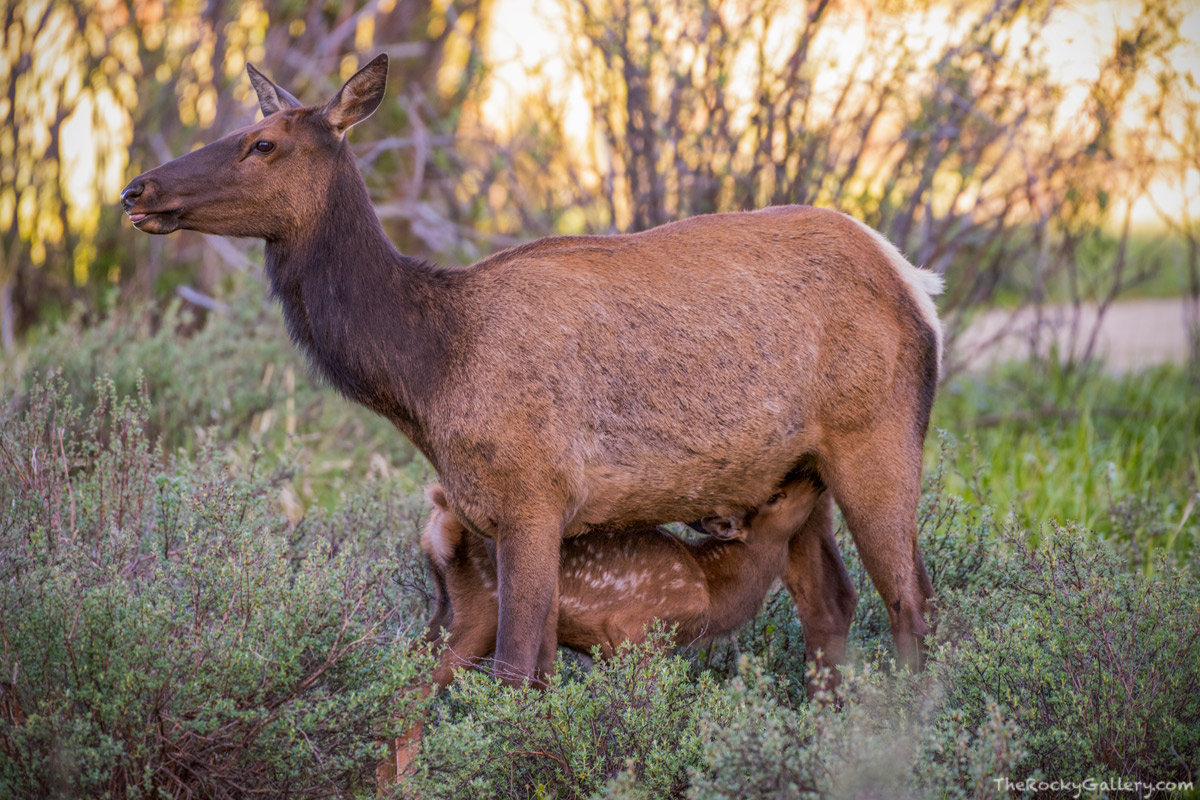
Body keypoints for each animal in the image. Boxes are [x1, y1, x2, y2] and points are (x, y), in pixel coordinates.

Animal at [124, 53, 945, 686]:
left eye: (261, 143)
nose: (137, 189)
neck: (428, 373)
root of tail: (916, 283)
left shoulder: (532, 497)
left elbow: (519, 670)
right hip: (796, 472)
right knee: (831, 604)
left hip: (876, 439)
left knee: (913, 605)